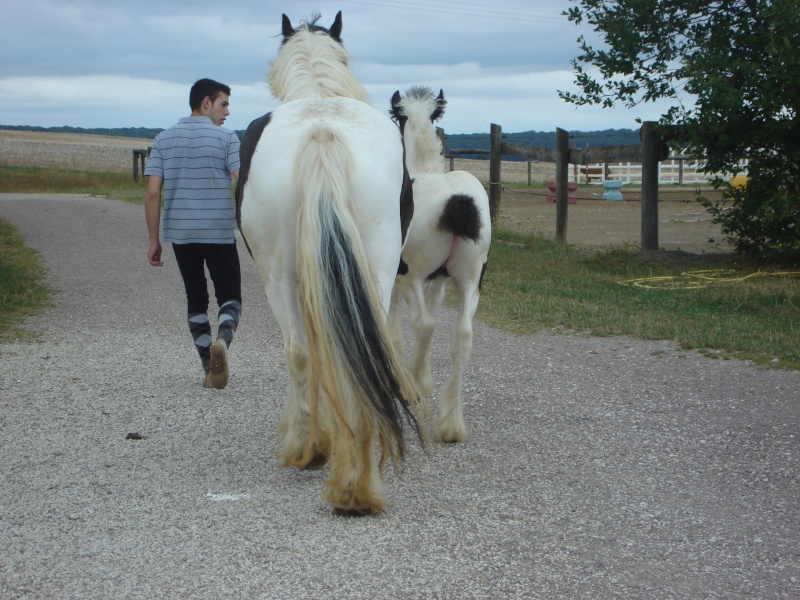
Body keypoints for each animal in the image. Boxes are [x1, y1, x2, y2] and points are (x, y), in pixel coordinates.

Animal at [236, 11, 422, 512]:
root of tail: (322, 132)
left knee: (303, 351)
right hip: (371, 268)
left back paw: (330, 467)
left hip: (279, 273)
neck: (318, 94)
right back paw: (347, 479)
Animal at [390, 85, 494, 440]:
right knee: (462, 337)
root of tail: (455, 201)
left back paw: (411, 386)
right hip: (469, 282)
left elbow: (393, 323)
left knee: (424, 324)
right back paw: (452, 424)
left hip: (411, 276)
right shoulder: (438, 281)